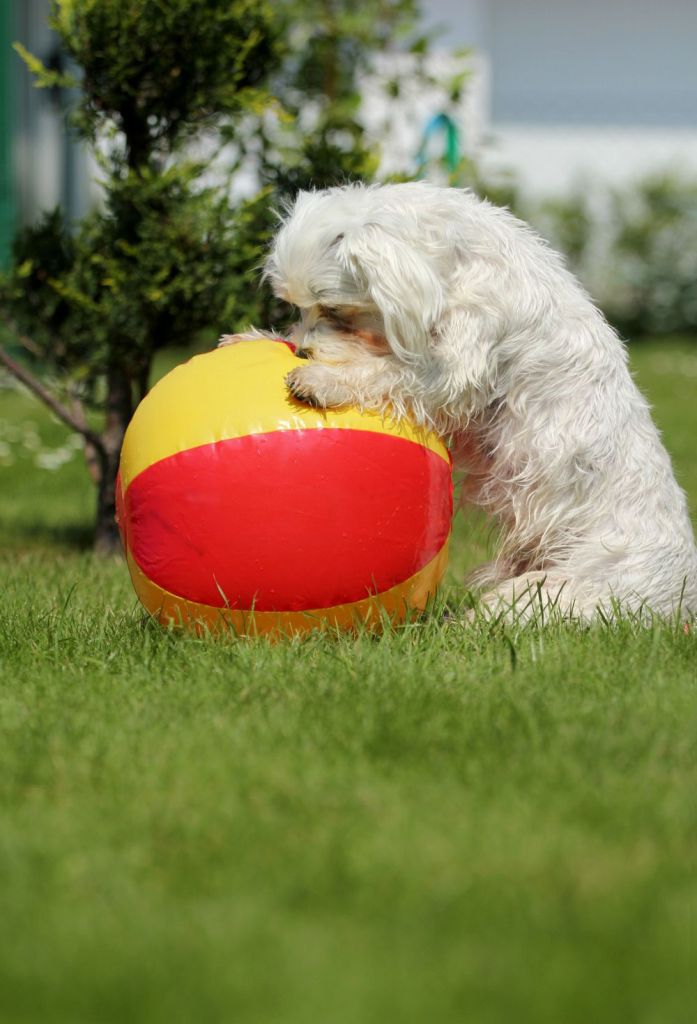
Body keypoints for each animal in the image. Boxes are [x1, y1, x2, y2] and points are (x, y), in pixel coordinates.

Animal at [224, 180, 695, 618]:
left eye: (337, 312)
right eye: (296, 308)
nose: (302, 350)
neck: (452, 264)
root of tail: (683, 596)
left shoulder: (456, 366)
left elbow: (393, 373)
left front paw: (322, 379)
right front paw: (254, 338)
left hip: (566, 591)